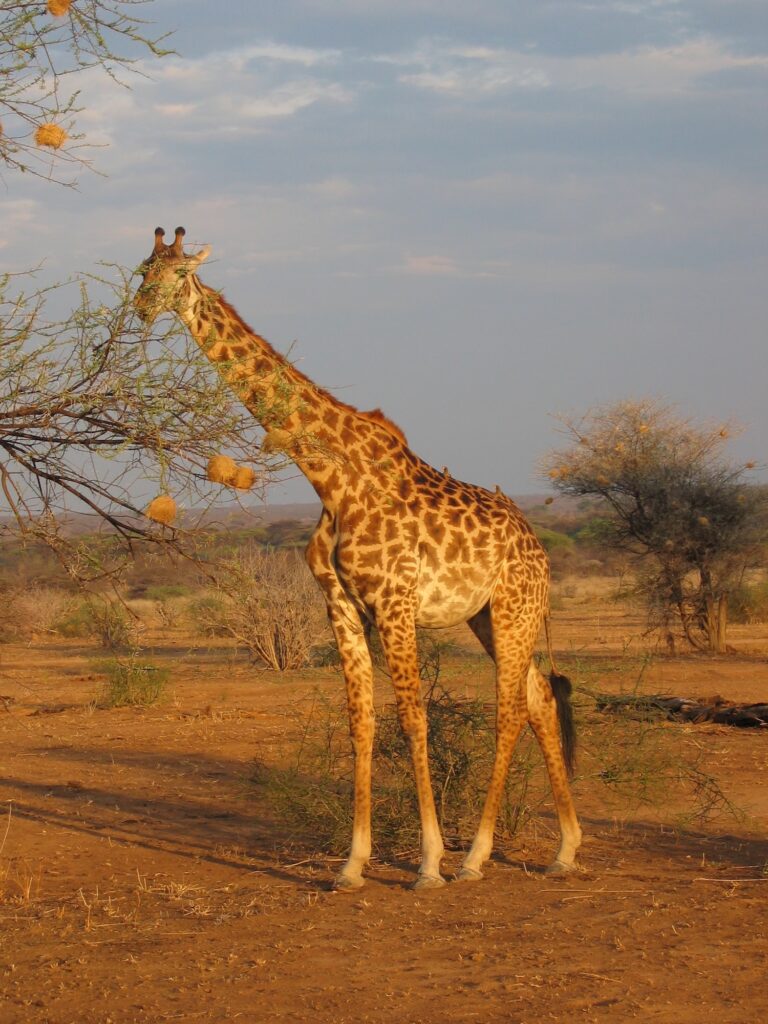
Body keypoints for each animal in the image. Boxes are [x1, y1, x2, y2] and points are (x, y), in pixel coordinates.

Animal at [135, 227, 582, 890]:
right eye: (142, 271)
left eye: (176, 274)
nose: (140, 309)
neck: (328, 477)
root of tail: (538, 549)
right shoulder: (341, 604)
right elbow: (361, 722)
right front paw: (351, 863)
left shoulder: (394, 601)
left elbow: (414, 718)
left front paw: (428, 863)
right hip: (489, 617)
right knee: (540, 701)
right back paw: (566, 848)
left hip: (513, 609)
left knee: (508, 711)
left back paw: (474, 857)